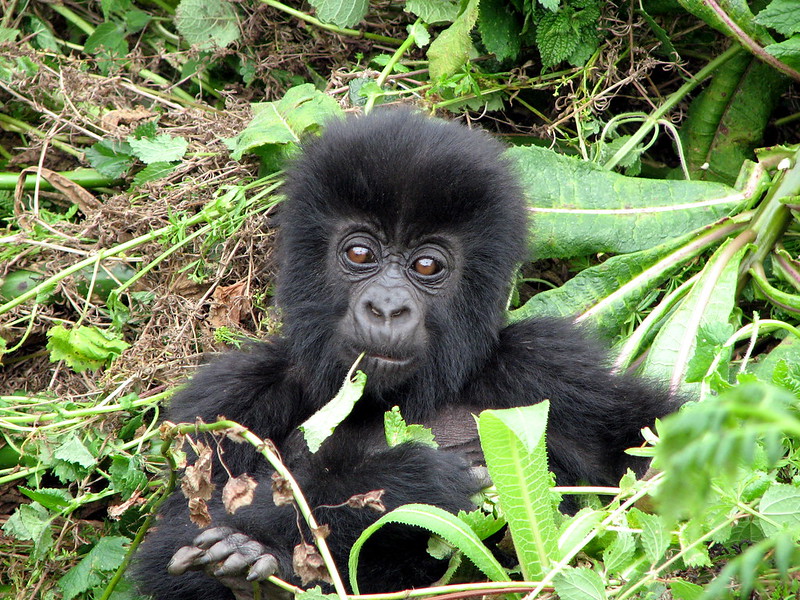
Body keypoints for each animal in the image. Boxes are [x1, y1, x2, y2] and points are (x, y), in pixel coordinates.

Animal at [133, 110, 680, 596]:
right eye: (360, 254)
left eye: (426, 265)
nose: (388, 307)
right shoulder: (231, 394)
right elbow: (170, 545)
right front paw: (410, 480)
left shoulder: (549, 367)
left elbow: (651, 450)